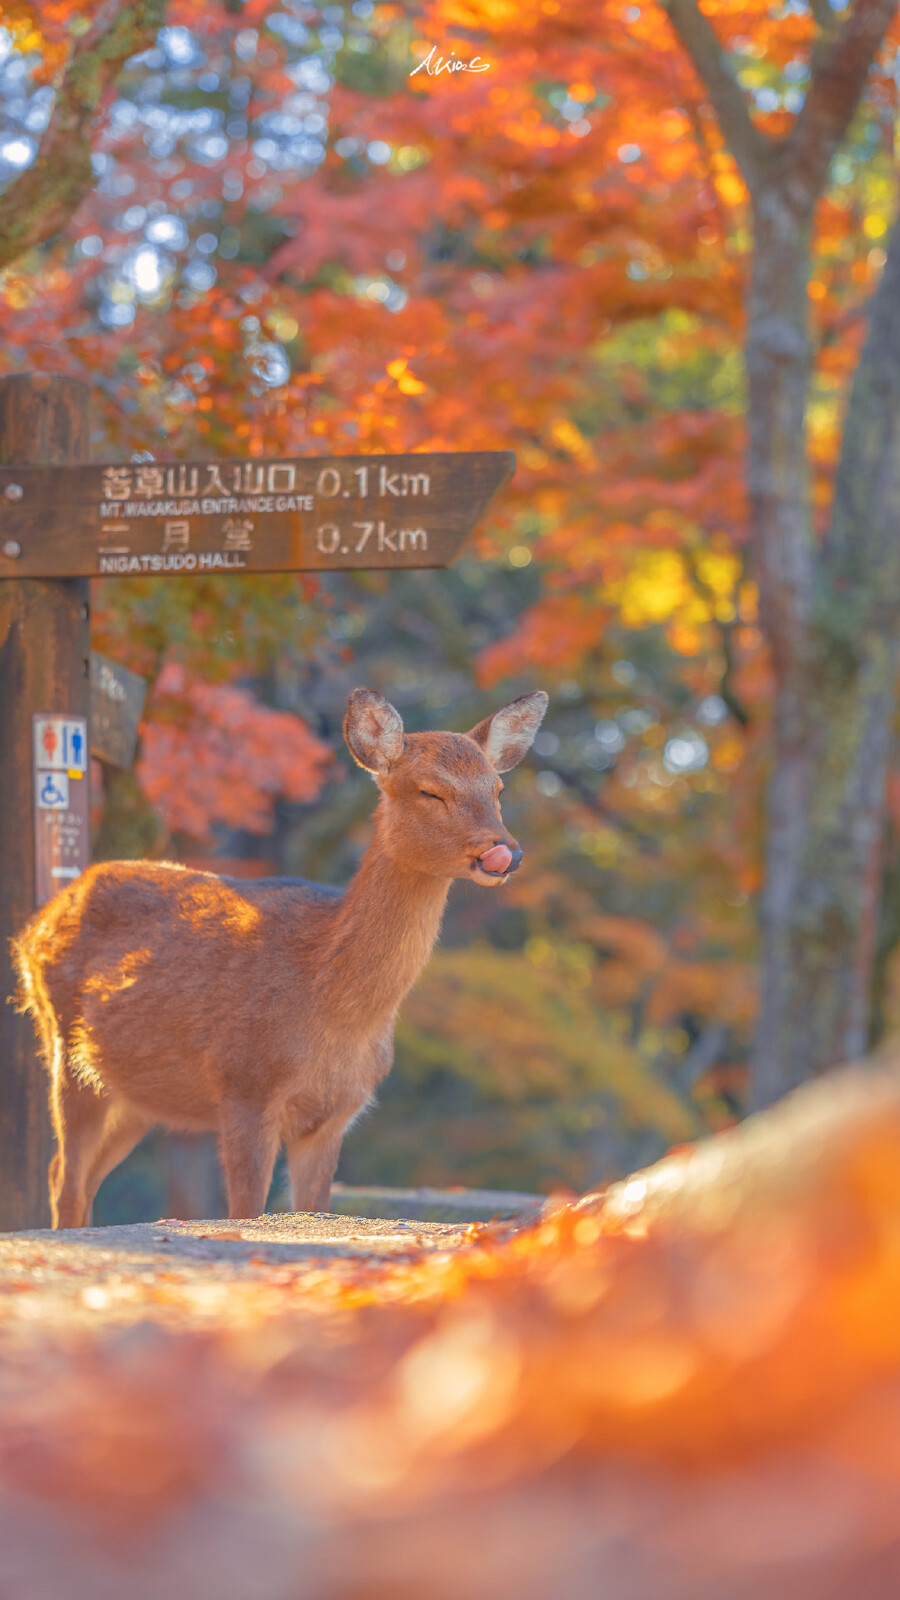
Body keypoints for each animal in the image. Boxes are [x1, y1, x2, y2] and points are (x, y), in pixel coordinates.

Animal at [12, 684, 547, 1222]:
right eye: (430, 791)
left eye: (498, 791)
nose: (505, 854)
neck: (334, 1009)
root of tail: (35, 925)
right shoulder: (243, 1087)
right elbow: (244, 1211)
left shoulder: (336, 1113)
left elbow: (314, 1206)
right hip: (64, 1051)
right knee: (65, 1178)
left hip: (133, 1095)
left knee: (79, 1177)